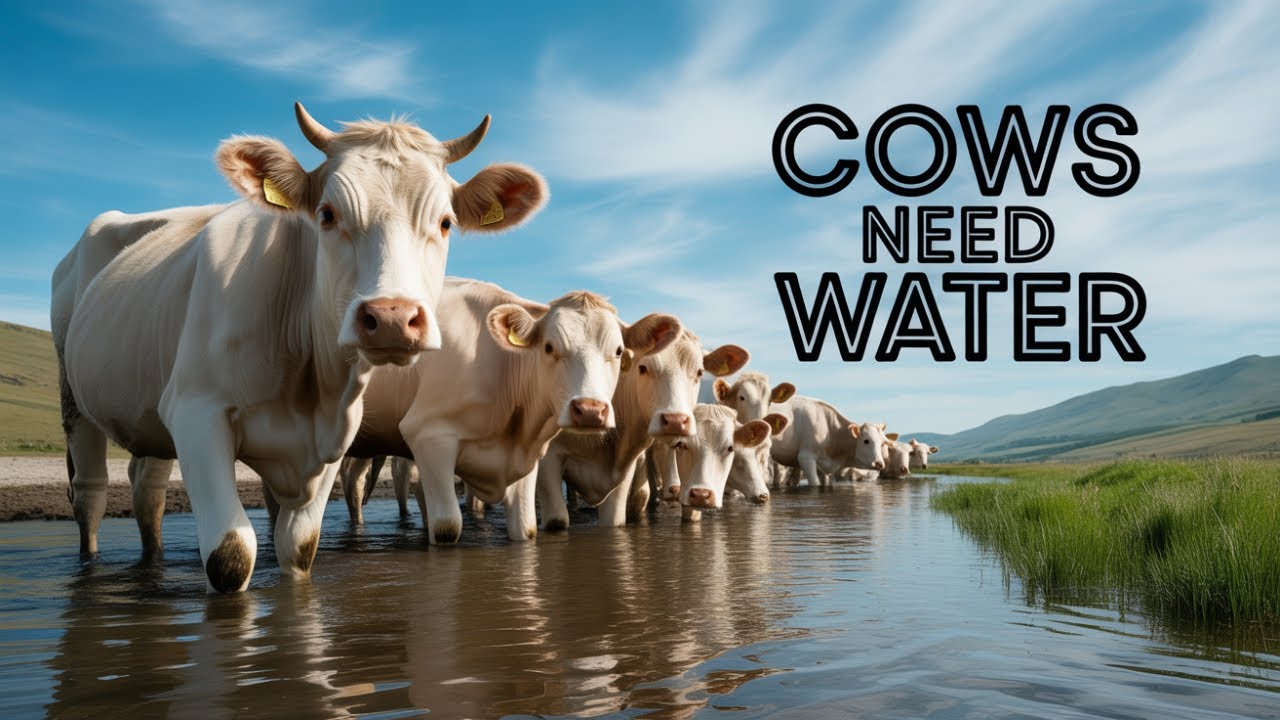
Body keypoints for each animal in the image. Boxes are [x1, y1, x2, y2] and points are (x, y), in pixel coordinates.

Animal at [56, 104, 547, 591]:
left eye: (445, 223)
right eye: (327, 214)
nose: (391, 319)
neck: (308, 378)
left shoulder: (334, 434)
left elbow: (299, 547)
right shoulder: (196, 410)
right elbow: (230, 556)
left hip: (149, 405)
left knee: (147, 488)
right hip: (75, 397)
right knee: (91, 493)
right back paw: (89, 564)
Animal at [345, 277, 681, 544]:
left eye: (619, 351)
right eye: (548, 347)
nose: (589, 410)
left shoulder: (528, 453)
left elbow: (527, 527)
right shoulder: (429, 436)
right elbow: (446, 527)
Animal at [537, 330, 748, 530]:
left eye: (699, 372)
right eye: (643, 368)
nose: (675, 420)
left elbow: (628, 507)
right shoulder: (549, 455)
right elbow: (557, 519)